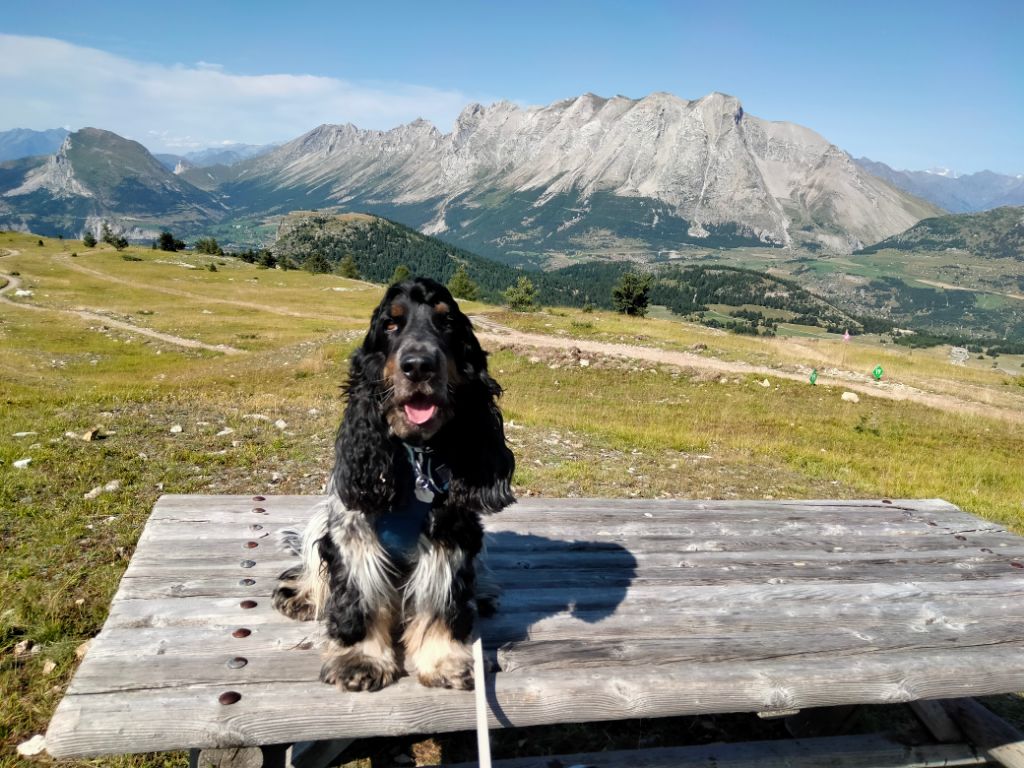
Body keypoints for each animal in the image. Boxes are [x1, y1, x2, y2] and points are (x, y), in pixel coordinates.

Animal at [272, 274, 516, 692]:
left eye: (446, 323)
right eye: (390, 324)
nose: (418, 366)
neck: (415, 454)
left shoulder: (450, 532)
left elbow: (443, 598)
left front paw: (447, 660)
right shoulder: (353, 531)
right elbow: (359, 596)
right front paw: (359, 659)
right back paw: (299, 594)